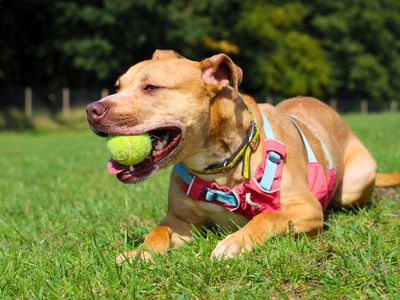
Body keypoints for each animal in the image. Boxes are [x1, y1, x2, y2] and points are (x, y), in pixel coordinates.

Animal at [86, 49, 398, 262]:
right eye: (118, 86)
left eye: (151, 87)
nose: (91, 110)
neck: (220, 166)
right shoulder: (180, 221)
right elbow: (158, 231)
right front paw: (139, 253)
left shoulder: (307, 209)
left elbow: (269, 218)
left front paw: (235, 242)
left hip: (355, 183)